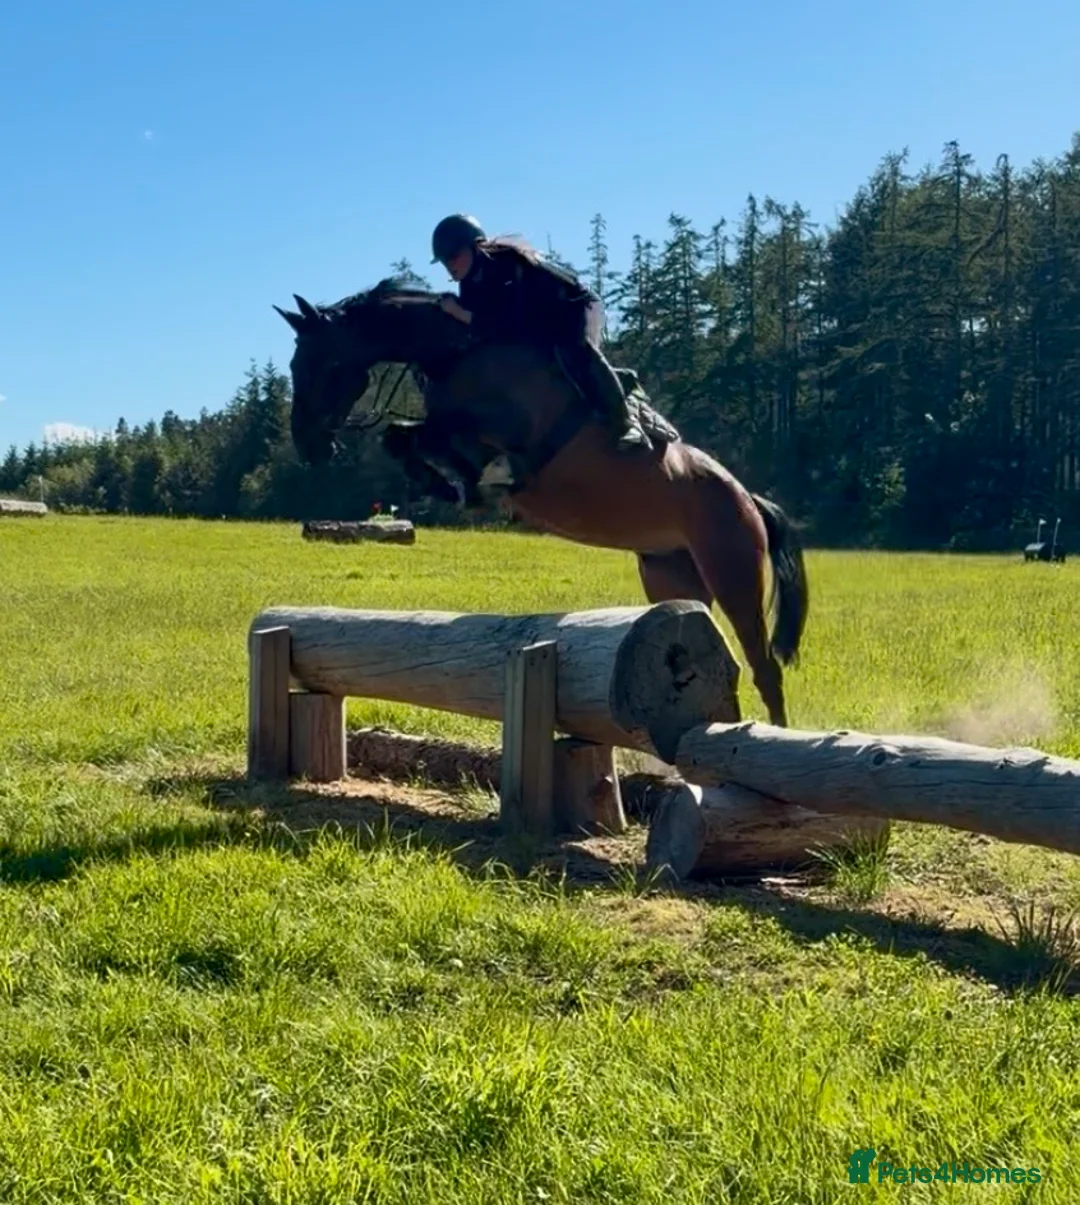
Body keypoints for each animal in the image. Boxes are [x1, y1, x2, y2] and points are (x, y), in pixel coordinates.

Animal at [273, 279, 810, 727]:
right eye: (295, 366)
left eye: (321, 365)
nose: (308, 445)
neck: (458, 352)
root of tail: (747, 497)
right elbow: (403, 438)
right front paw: (454, 487)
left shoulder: (502, 427)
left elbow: (435, 435)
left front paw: (476, 483)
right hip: (670, 572)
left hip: (732, 569)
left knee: (764, 667)